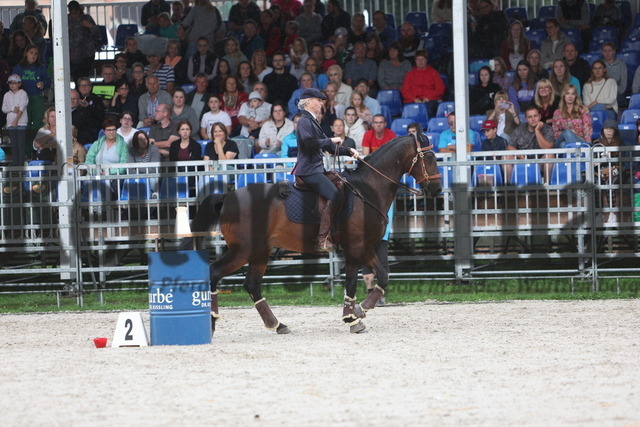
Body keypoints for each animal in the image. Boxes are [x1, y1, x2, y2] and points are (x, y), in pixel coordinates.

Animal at [179, 134, 440, 334]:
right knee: (214, 273)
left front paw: (356, 313)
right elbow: (362, 281)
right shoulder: (357, 248)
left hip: (260, 252)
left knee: (252, 284)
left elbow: (378, 278)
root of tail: (228, 197)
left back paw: (277, 325)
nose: (436, 189)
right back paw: (212, 320)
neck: (366, 190)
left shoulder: (362, 249)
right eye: (429, 157)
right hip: (242, 250)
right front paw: (354, 316)